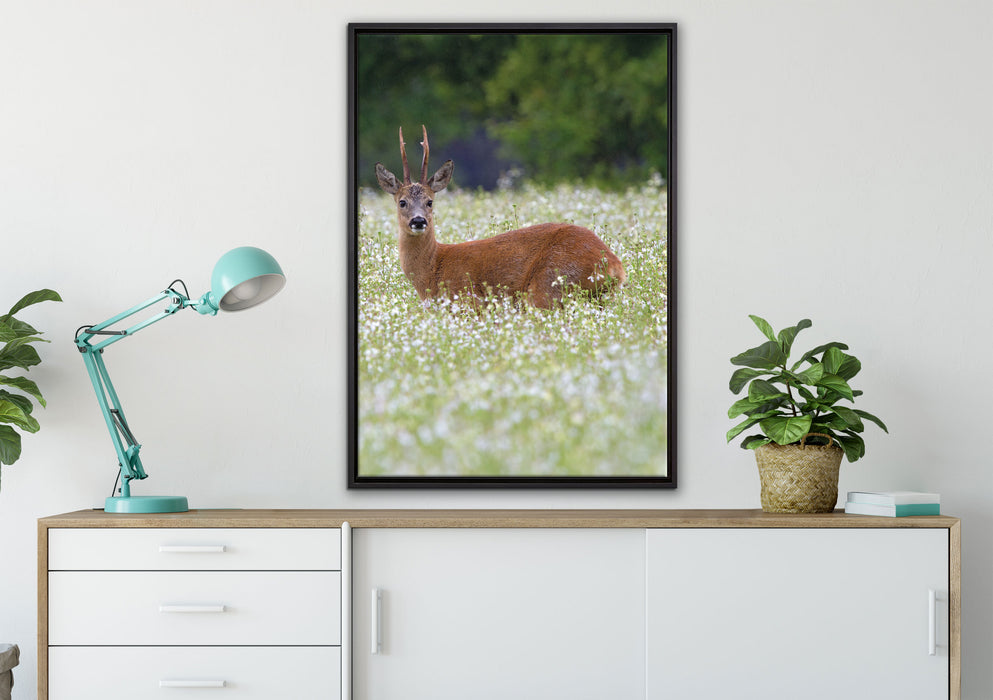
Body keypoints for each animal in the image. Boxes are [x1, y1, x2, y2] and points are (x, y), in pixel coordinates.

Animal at [375, 126, 626, 309]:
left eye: (430, 201)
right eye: (402, 202)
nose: (418, 221)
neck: (433, 269)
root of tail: (615, 265)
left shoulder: (468, 302)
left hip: (548, 286)